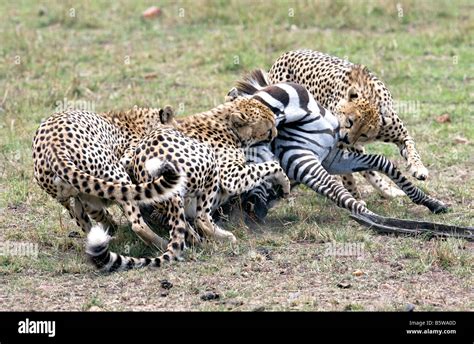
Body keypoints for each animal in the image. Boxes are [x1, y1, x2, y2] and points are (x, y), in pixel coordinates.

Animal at [31, 105, 182, 250]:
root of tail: (53, 148)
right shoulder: (127, 158)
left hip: (73, 196)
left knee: (84, 220)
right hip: (118, 175)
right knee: (137, 224)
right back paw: (164, 244)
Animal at [86, 97, 290, 272]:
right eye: (269, 128)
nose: (276, 133)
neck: (222, 119)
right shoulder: (231, 177)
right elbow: (273, 165)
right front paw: (285, 185)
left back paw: (198, 242)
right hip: (208, 162)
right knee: (201, 218)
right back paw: (224, 237)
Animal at [268, 49, 428, 199]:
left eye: (364, 134)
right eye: (350, 121)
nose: (346, 138)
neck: (372, 99)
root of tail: (287, 53)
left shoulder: (400, 135)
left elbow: (411, 149)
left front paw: (418, 168)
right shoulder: (338, 146)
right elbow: (347, 175)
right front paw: (355, 198)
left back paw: (387, 190)